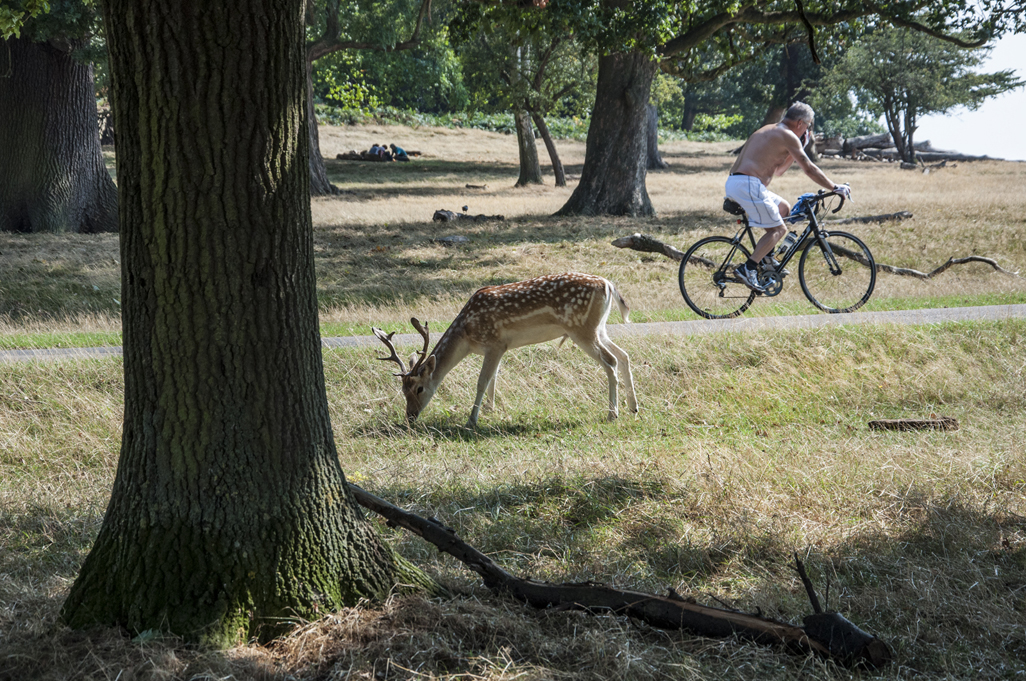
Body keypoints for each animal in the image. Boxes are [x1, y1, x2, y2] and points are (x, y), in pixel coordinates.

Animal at [373, 270, 636, 426]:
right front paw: (490, 410)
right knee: (624, 355)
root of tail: (608, 284)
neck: (467, 334)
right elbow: (494, 379)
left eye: (419, 388)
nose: (410, 416)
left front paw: (472, 419)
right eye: (402, 390)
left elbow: (482, 381)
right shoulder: (500, 348)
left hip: (580, 328)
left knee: (610, 360)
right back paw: (633, 407)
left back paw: (612, 413)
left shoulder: (495, 342)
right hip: (598, 327)